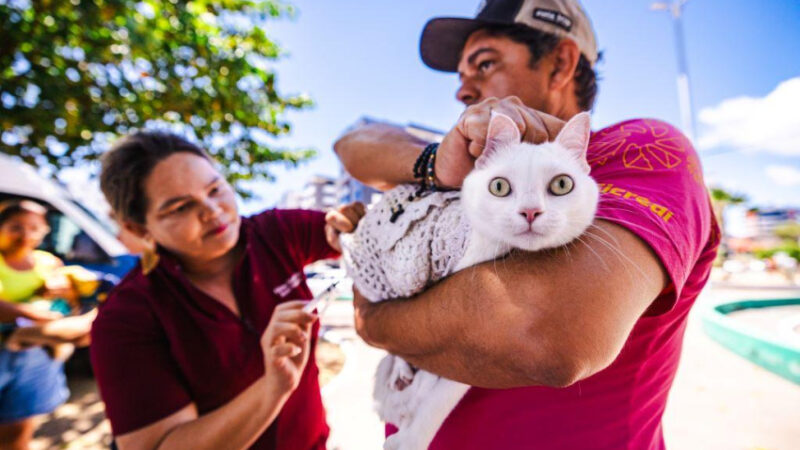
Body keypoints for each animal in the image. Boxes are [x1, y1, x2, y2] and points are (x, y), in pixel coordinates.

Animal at [340, 110, 596, 450]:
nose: (530, 212)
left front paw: (412, 425)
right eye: (499, 186)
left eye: (562, 184)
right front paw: (409, 431)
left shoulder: (474, 349)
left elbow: (443, 393)